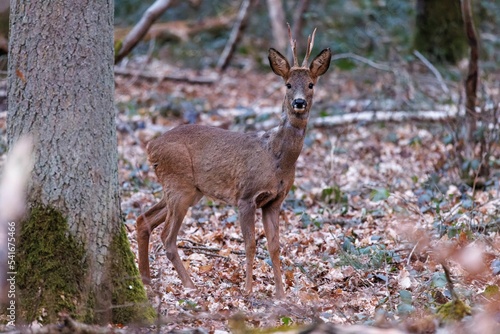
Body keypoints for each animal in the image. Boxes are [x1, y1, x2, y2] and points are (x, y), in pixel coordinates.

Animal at [137, 25, 332, 298]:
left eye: (311, 84)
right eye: (288, 84)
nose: (299, 102)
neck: (276, 158)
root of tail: (150, 146)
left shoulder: (274, 201)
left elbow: (275, 247)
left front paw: (281, 295)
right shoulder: (246, 195)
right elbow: (250, 244)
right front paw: (248, 290)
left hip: (187, 189)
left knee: (143, 220)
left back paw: (145, 280)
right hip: (179, 184)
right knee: (166, 237)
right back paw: (189, 286)